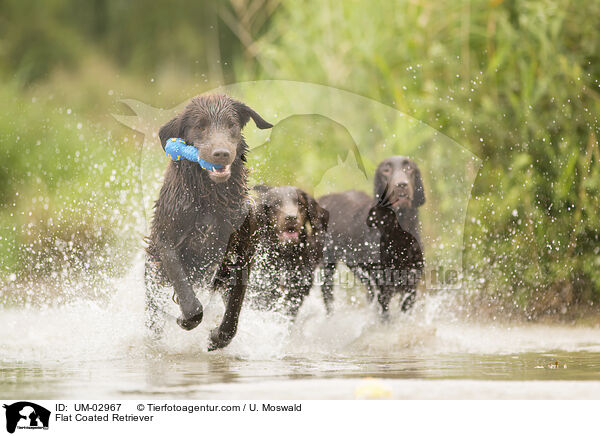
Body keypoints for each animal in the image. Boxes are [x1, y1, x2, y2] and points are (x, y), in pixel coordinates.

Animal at [146, 94, 274, 350]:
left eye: (231, 124)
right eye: (201, 126)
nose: (221, 153)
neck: (211, 198)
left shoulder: (241, 252)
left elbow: (234, 307)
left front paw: (218, 337)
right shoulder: (167, 240)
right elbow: (187, 294)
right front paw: (184, 319)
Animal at [322, 156, 424, 316]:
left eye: (409, 168)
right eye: (386, 170)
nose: (401, 185)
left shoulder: (410, 289)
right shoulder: (383, 291)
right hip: (328, 263)